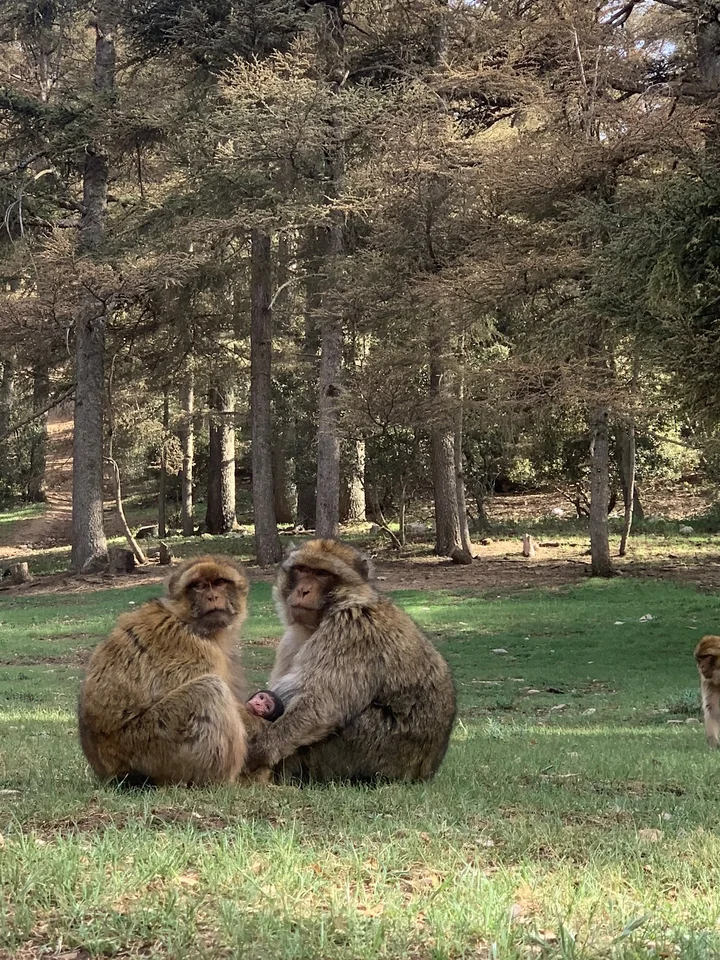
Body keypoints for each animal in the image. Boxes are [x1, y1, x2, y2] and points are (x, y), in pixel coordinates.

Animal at [78, 555, 251, 787]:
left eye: (220, 582)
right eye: (198, 586)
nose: (213, 596)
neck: (188, 620)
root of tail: (108, 771)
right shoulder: (199, 652)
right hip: (151, 744)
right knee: (209, 690)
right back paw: (220, 781)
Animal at [245, 539, 457, 784]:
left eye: (322, 573)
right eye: (303, 570)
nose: (303, 590)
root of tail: (424, 772)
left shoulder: (350, 629)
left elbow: (322, 706)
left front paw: (260, 749)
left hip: (365, 749)